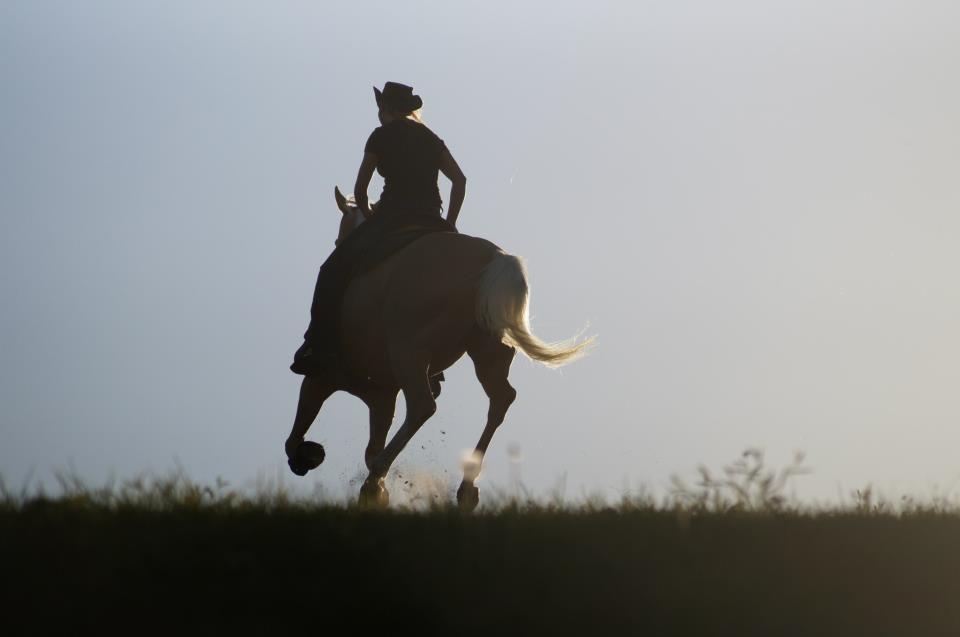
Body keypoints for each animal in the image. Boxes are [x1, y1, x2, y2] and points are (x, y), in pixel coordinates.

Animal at [284, 186, 592, 510]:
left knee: (422, 405)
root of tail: (494, 258)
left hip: (409, 355)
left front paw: (308, 457)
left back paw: (374, 480)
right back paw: (466, 486)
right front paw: (380, 491)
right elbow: (371, 444)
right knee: (501, 399)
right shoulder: (382, 394)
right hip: (487, 355)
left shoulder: (323, 378)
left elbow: (298, 429)